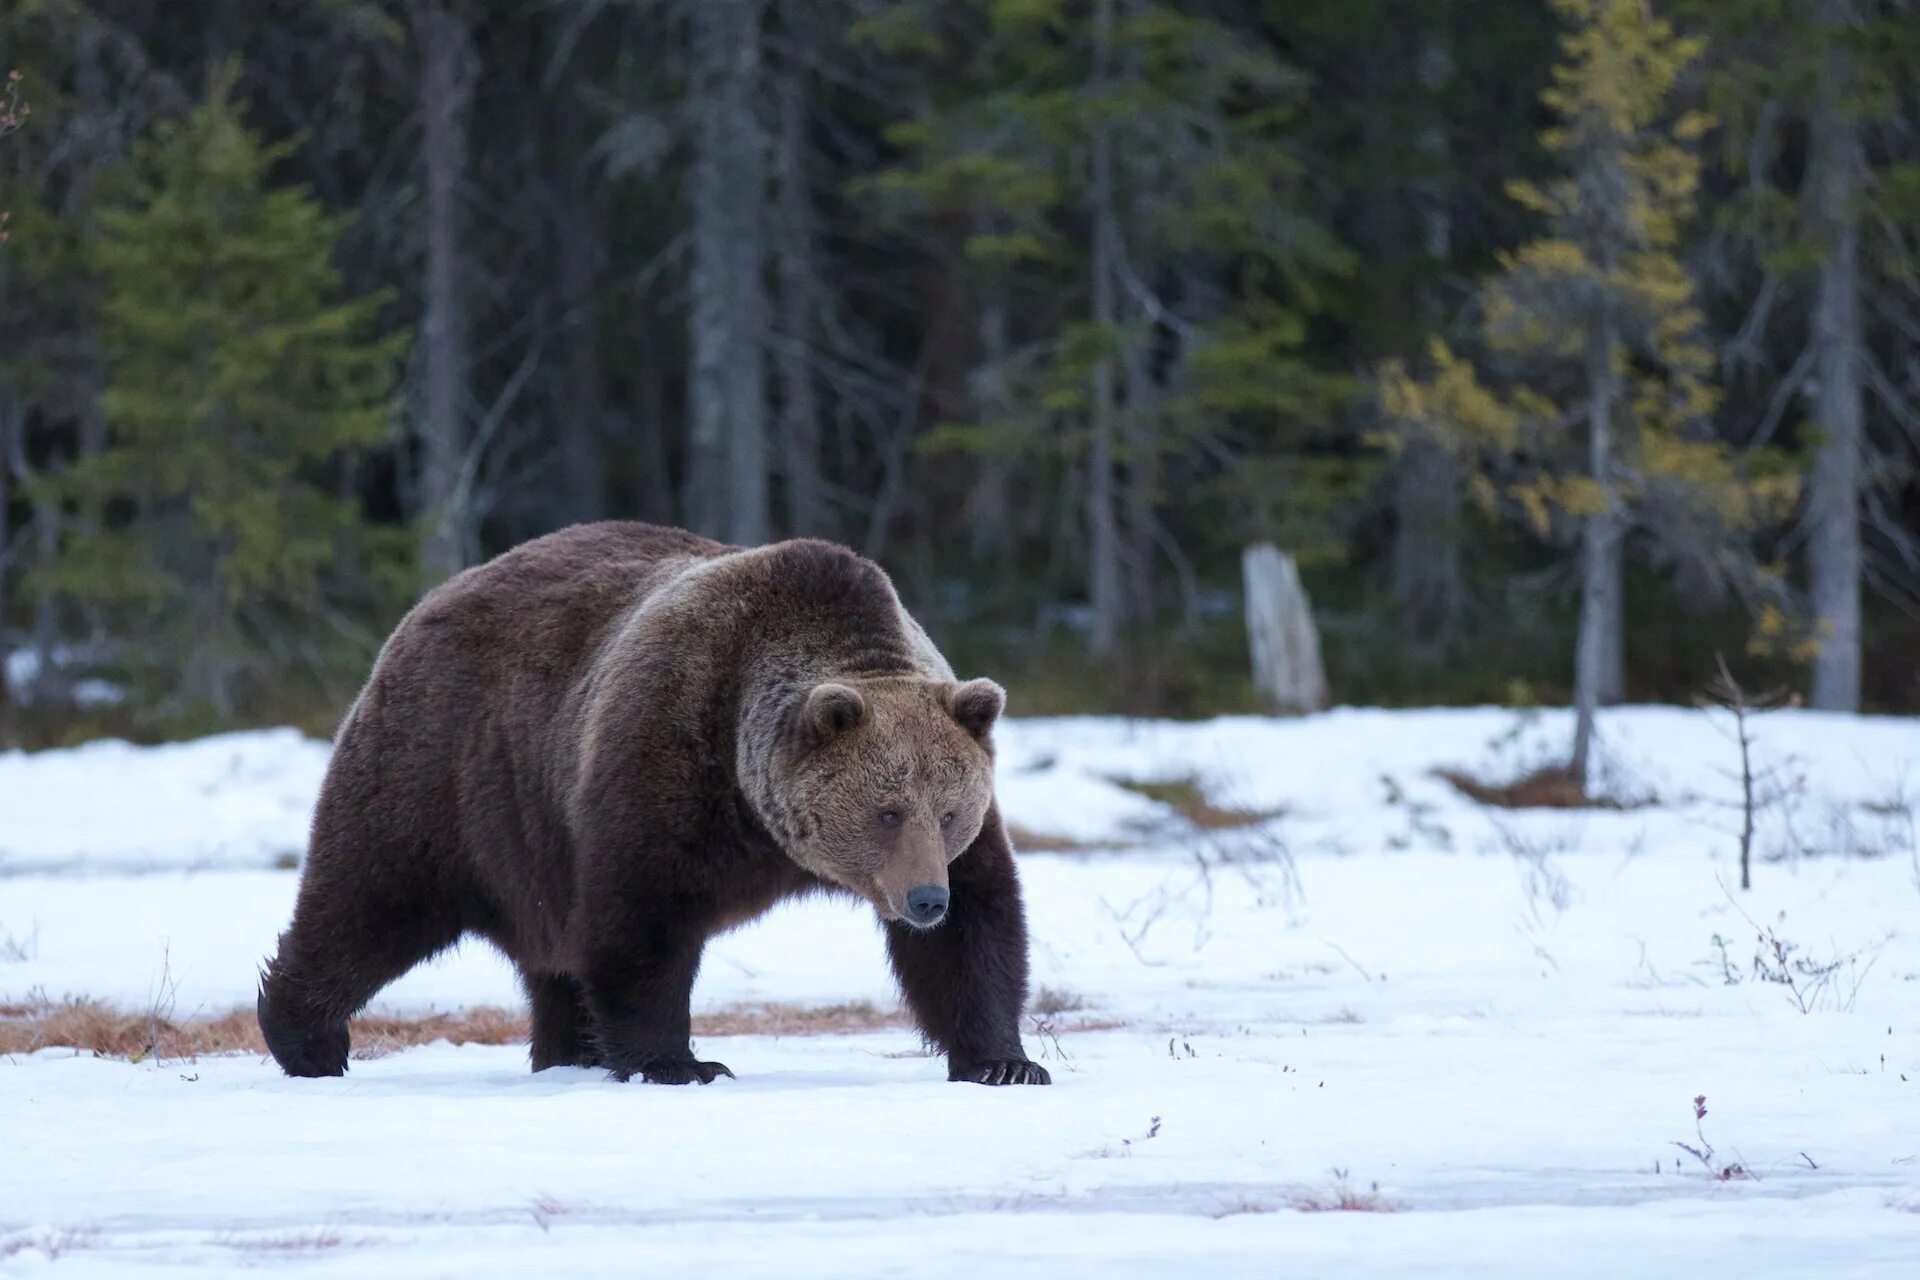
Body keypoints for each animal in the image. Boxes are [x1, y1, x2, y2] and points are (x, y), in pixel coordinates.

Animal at [257, 525, 1052, 1090]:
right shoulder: (667, 755)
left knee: (548, 955)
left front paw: (1005, 1061)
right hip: (446, 774)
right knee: (370, 898)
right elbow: (643, 918)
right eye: (887, 811)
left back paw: (568, 1052)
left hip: (533, 841)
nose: (923, 900)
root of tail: (431, 600)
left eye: (947, 812)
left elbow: (978, 928)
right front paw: (681, 1062)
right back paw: (307, 1038)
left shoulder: (961, 834)